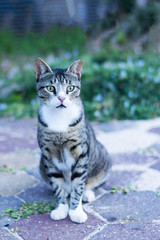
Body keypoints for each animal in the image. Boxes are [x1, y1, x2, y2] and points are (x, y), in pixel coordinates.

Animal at [34, 58, 111, 223]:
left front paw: (76, 211)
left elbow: (78, 185)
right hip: (41, 165)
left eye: (70, 88)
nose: (62, 98)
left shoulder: (81, 153)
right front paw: (61, 208)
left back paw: (87, 194)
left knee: (87, 183)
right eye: (50, 88)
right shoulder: (48, 156)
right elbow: (57, 185)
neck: (60, 118)